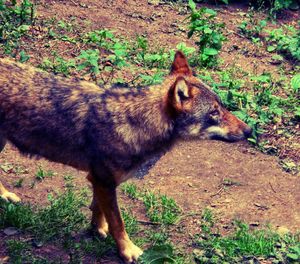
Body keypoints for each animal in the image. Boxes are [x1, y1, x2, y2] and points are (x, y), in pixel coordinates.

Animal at [0, 51, 252, 262]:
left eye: (223, 107)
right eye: (214, 113)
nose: (250, 131)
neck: (134, 123)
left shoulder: (99, 181)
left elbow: (99, 210)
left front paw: (97, 228)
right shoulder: (104, 181)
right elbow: (118, 222)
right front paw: (127, 250)